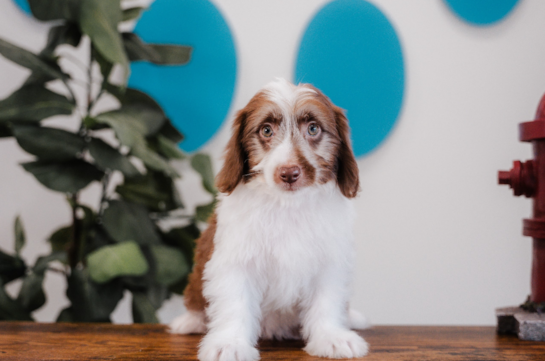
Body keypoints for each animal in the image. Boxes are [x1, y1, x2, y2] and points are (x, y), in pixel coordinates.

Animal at [170, 79, 368, 360]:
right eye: (266, 130)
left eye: (313, 128)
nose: (289, 173)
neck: (287, 205)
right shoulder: (235, 259)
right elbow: (235, 302)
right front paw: (229, 343)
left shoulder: (329, 260)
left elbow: (326, 299)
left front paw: (331, 337)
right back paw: (190, 321)